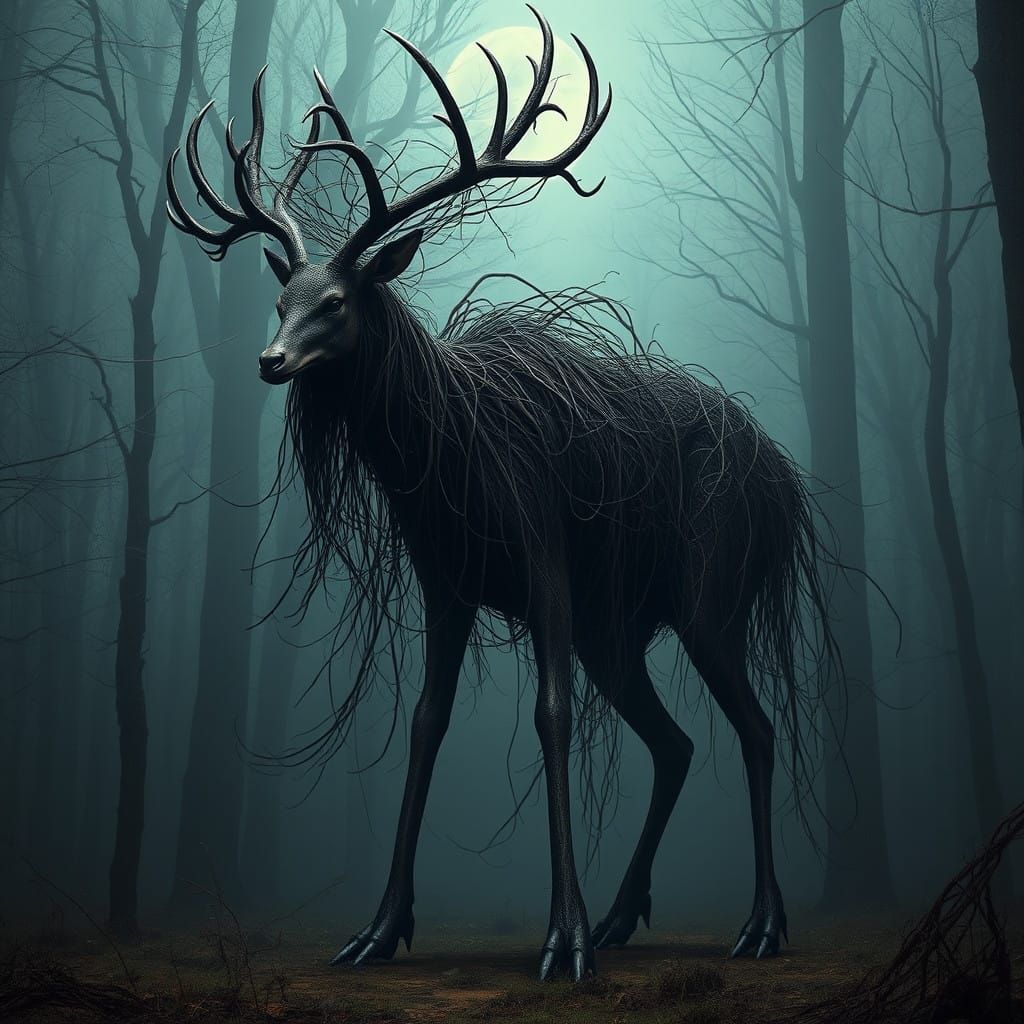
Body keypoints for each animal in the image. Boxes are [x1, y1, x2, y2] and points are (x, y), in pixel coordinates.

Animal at [167, 6, 836, 981]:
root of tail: (787, 488)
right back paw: (624, 914)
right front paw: (379, 928)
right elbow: (425, 724)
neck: (444, 470)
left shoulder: (545, 564)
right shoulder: (445, 587)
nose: (270, 360)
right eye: (283, 298)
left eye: (336, 302)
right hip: (617, 633)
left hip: (710, 599)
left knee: (756, 729)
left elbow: (550, 717)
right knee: (675, 743)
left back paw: (760, 923)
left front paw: (562, 936)